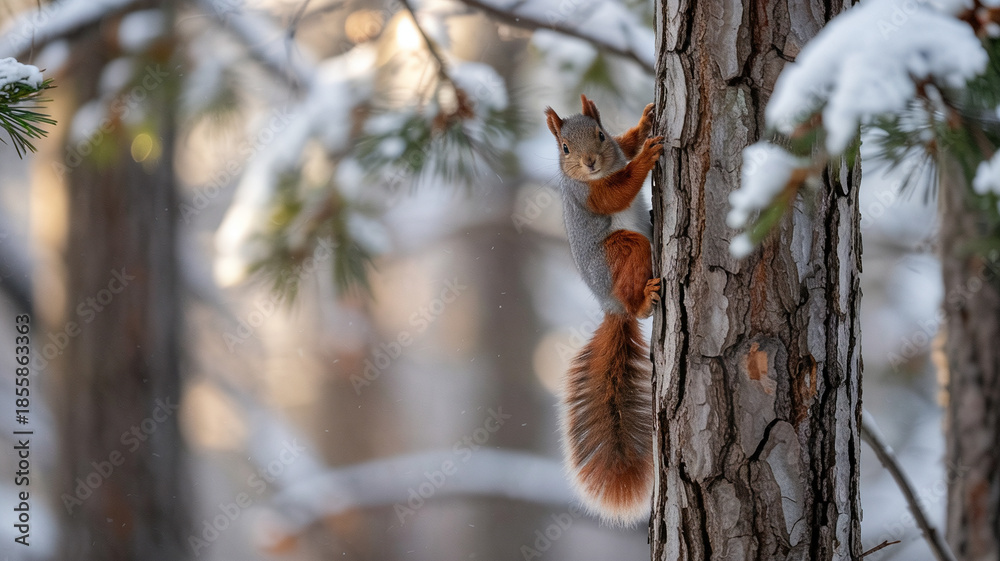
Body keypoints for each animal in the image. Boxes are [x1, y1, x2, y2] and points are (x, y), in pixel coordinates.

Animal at [544, 95, 663, 526]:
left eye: (599, 133)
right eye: (564, 148)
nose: (591, 163)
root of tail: (610, 305)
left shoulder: (614, 149)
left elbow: (625, 145)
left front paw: (644, 125)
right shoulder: (588, 194)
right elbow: (617, 193)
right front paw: (647, 158)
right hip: (621, 251)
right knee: (635, 292)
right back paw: (643, 301)